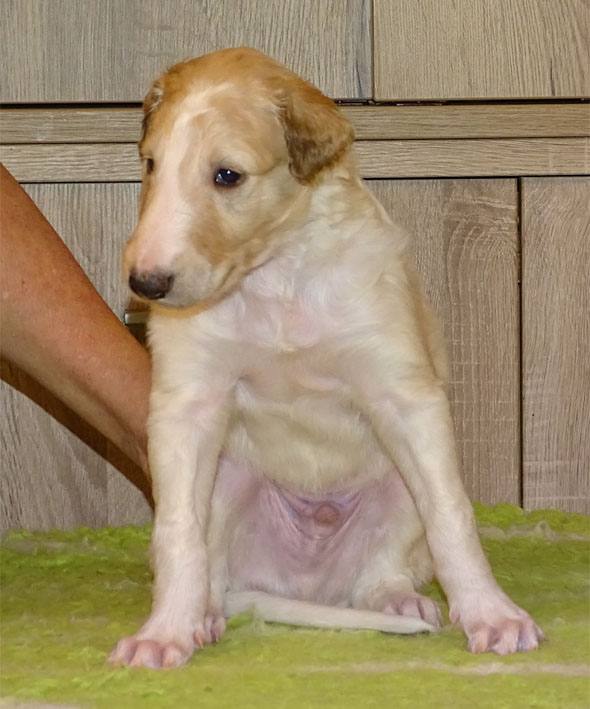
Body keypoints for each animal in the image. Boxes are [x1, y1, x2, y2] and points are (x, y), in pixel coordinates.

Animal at [110, 47, 543, 669]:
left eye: (227, 175)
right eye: (150, 164)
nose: (145, 284)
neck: (276, 280)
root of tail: (306, 584)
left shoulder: (406, 397)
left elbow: (451, 516)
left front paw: (492, 615)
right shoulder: (187, 408)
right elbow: (177, 531)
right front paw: (164, 633)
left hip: (394, 487)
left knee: (381, 574)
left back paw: (399, 600)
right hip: (228, 479)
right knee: (212, 565)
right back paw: (204, 615)